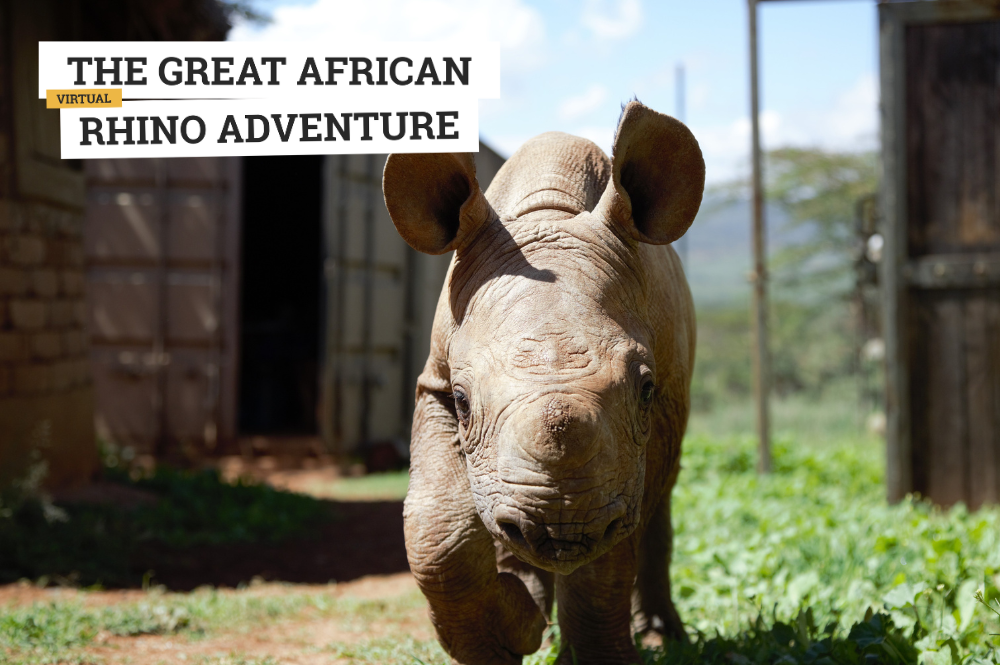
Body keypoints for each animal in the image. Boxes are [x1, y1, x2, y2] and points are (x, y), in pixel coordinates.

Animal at [382, 100, 704, 664]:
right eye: (464, 400)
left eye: (645, 387)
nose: (561, 530)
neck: (550, 216)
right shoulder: (436, 380)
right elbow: (435, 528)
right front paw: (509, 637)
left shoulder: (644, 431)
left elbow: (609, 557)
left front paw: (595, 653)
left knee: (657, 500)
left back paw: (658, 635)